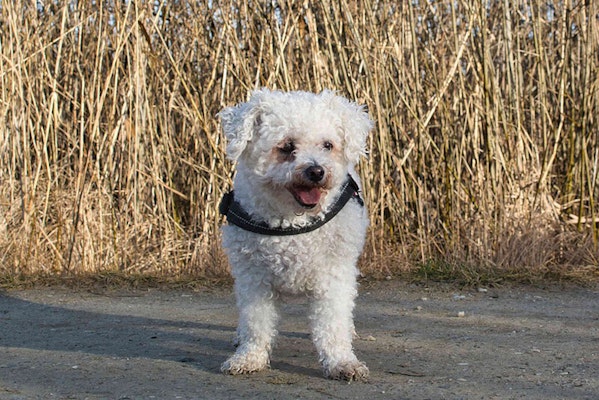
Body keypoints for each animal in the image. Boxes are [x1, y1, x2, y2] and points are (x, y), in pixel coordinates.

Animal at [218, 88, 372, 382]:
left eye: (327, 145)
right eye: (287, 147)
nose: (317, 171)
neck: (292, 224)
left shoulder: (333, 277)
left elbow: (333, 325)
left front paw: (342, 362)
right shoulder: (254, 279)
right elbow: (256, 324)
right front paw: (249, 357)